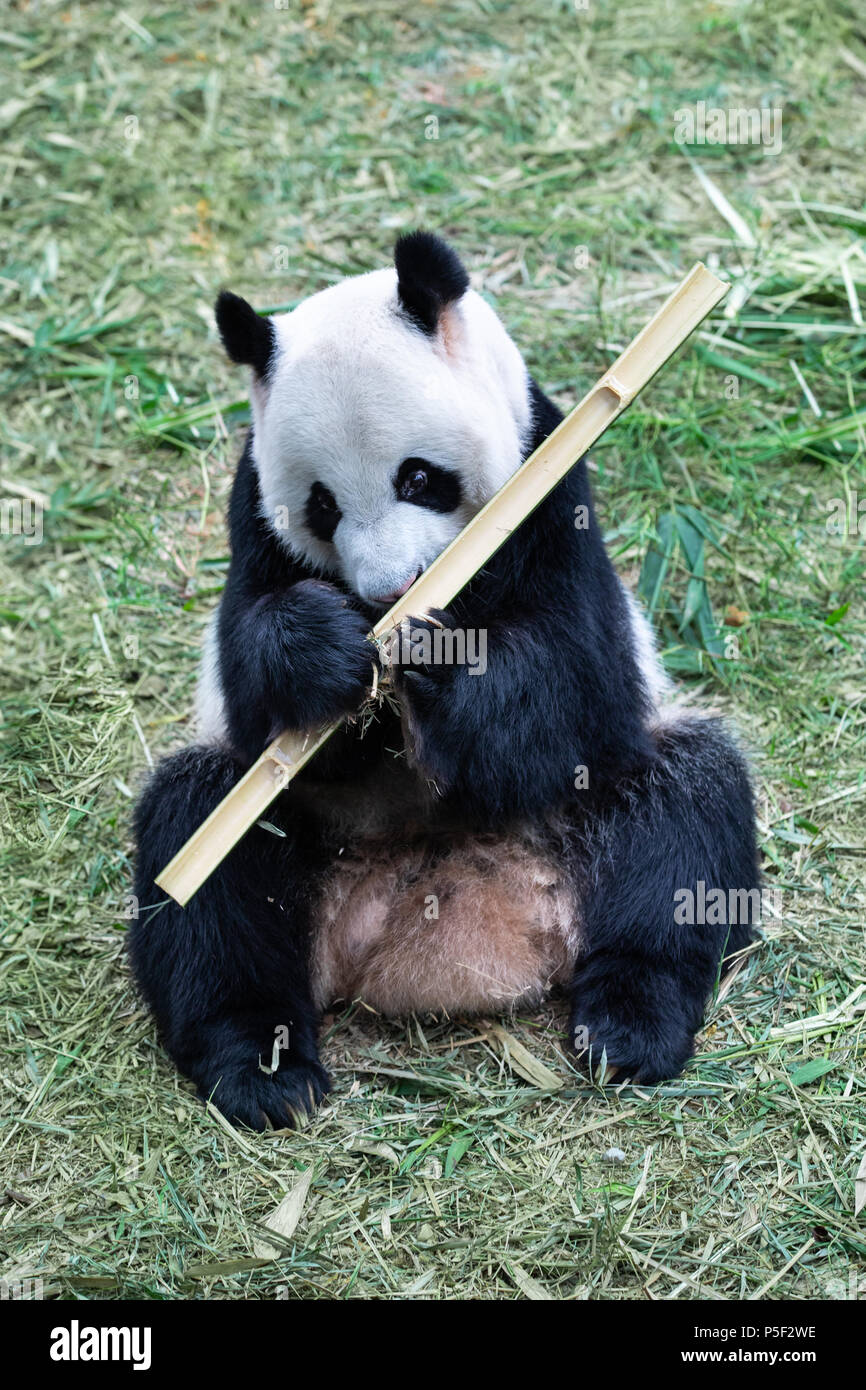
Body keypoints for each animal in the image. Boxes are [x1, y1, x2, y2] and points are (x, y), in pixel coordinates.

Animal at [128, 233, 756, 1128]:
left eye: (418, 478)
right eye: (321, 506)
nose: (390, 589)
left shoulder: (550, 483)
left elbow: (576, 674)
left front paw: (436, 653)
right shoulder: (252, 515)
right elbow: (251, 673)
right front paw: (327, 650)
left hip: (594, 809)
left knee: (683, 819)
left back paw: (629, 1026)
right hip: (294, 843)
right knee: (204, 858)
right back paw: (261, 1067)